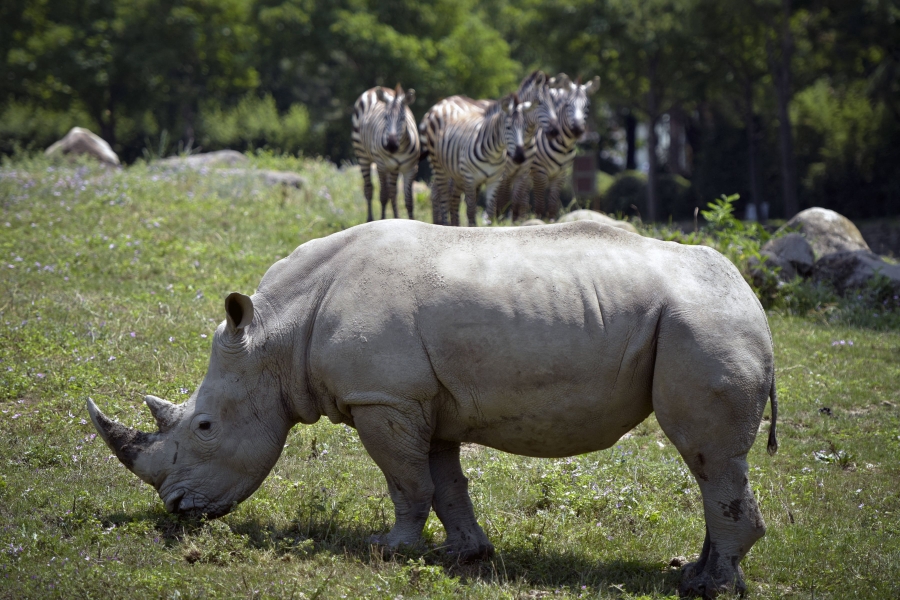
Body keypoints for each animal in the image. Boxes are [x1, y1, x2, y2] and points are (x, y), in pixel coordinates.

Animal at [352, 85, 422, 223]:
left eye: (403, 118)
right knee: (369, 189)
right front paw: (382, 220)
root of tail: (373, 89)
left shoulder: (411, 168)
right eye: (385, 117)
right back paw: (370, 219)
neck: (400, 149)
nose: (391, 145)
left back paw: (396, 217)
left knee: (393, 192)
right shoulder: (381, 165)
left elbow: (409, 201)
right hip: (362, 155)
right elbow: (383, 195)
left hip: (394, 168)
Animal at [422, 95, 536, 226]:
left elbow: (491, 210)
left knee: (454, 198)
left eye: (524, 129)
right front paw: (472, 227)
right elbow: (471, 209)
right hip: (440, 169)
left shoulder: (495, 180)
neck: (493, 154)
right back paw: (444, 223)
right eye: (508, 127)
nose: (520, 157)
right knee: (443, 196)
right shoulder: (470, 178)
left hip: (457, 175)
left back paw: (455, 225)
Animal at [532, 75, 600, 220]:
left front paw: (551, 221)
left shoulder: (561, 174)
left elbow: (553, 204)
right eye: (568, 104)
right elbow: (539, 202)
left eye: (587, 106)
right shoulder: (539, 171)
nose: (578, 129)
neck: (564, 146)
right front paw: (538, 220)